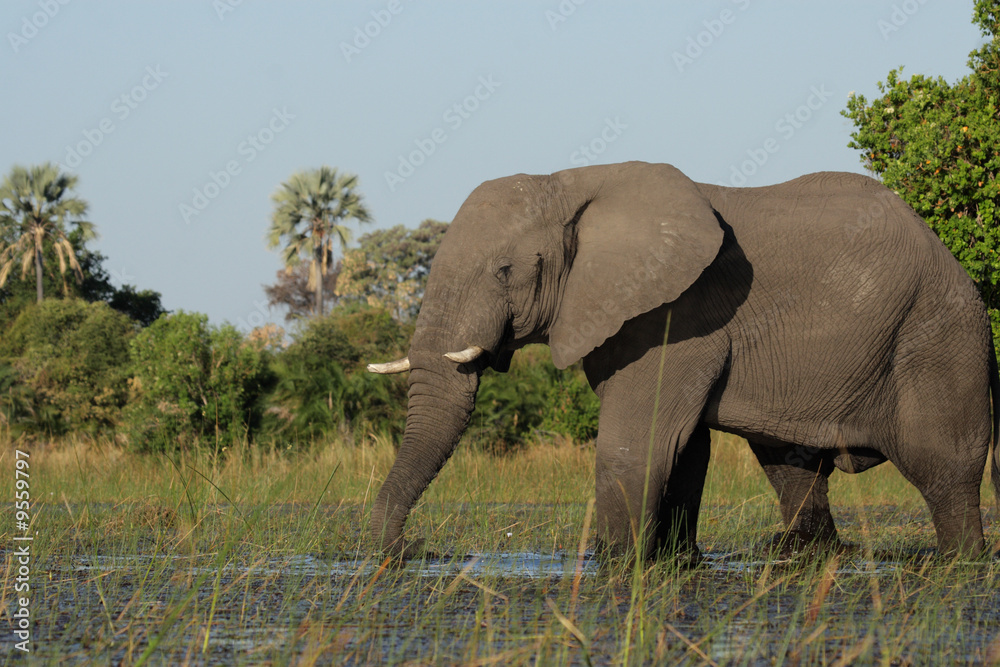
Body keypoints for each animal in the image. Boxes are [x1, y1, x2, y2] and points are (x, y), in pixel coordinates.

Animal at [367, 161, 999, 561]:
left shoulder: (677, 313)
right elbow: (686, 448)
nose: (417, 549)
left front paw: (616, 565)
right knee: (789, 464)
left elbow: (638, 443)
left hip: (937, 337)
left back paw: (960, 563)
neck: (569, 183)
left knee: (944, 468)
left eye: (504, 270)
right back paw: (800, 555)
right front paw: (677, 565)